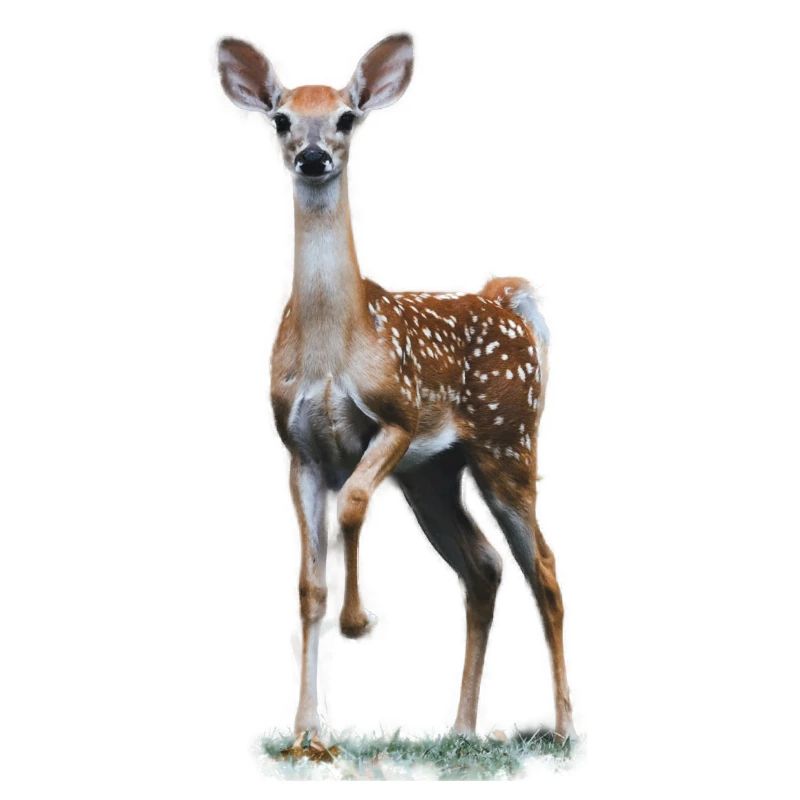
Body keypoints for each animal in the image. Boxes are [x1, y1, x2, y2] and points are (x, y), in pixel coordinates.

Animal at [217, 33, 574, 751]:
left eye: (347, 117)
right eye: (282, 119)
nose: (315, 156)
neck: (333, 348)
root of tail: (508, 301)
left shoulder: (398, 418)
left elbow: (354, 502)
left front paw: (359, 621)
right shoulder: (299, 451)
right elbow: (309, 586)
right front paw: (306, 733)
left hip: (508, 442)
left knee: (544, 568)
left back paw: (564, 726)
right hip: (434, 475)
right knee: (484, 567)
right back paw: (460, 727)